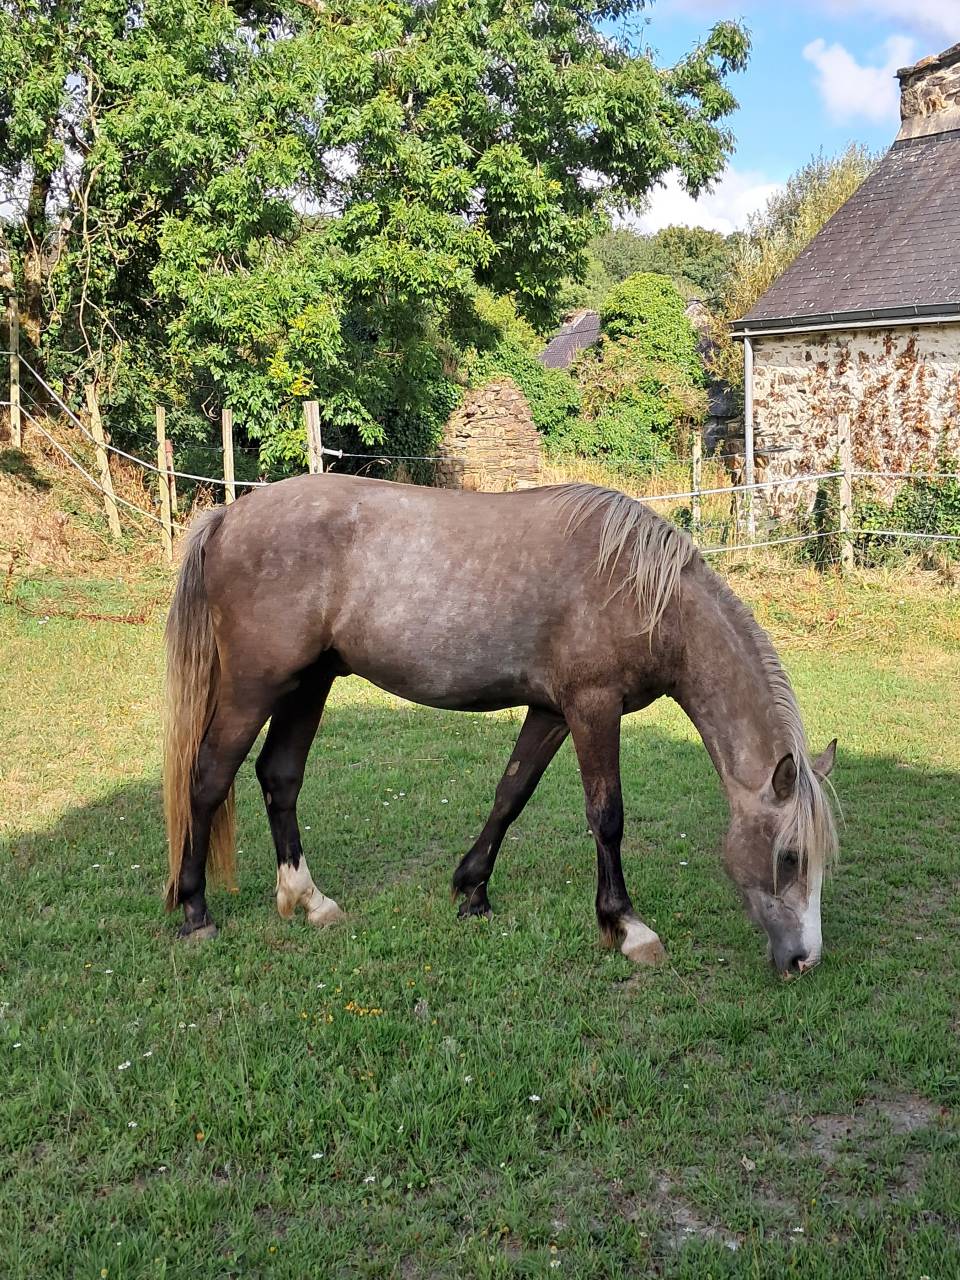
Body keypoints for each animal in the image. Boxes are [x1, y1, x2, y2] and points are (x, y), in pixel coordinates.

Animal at [163, 474, 838, 977]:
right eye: (789, 857)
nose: (804, 960)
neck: (647, 594)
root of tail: (228, 516)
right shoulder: (593, 707)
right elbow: (607, 816)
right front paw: (626, 926)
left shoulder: (553, 712)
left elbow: (511, 793)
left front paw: (472, 891)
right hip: (256, 685)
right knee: (209, 777)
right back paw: (195, 912)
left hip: (309, 682)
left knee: (279, 776)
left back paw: (308, 900)